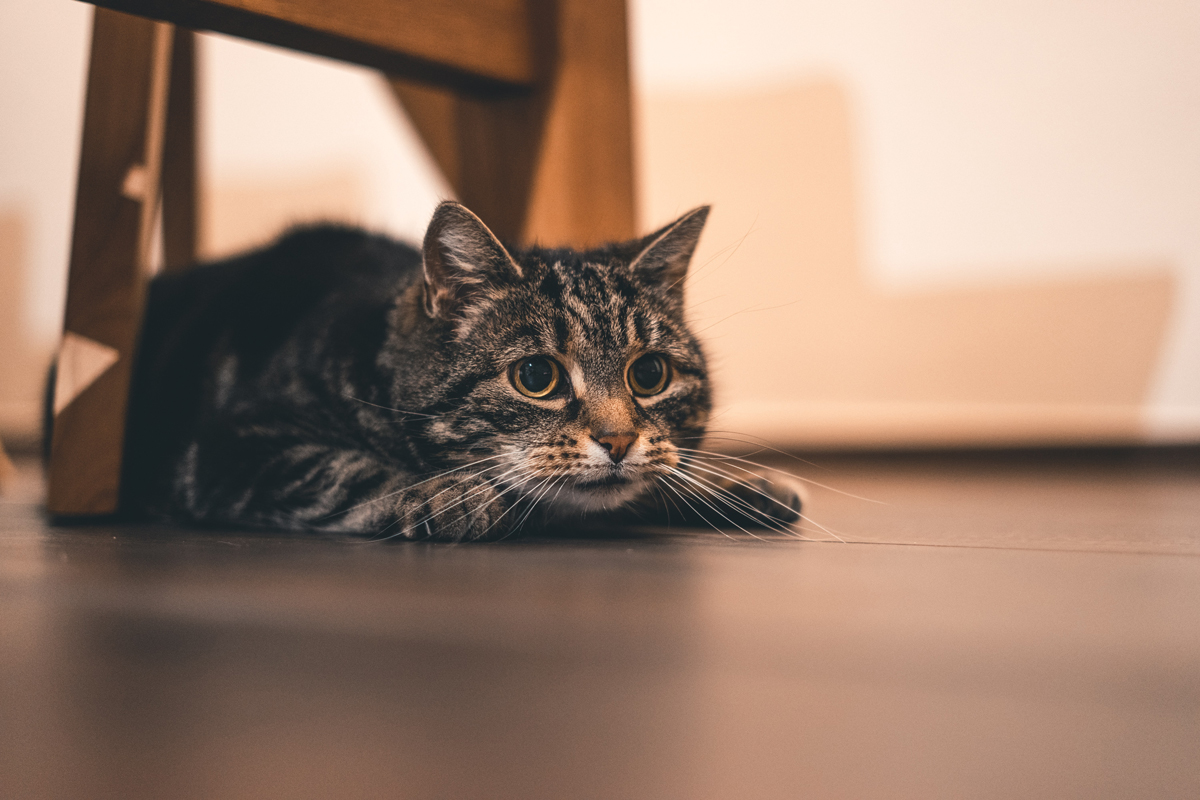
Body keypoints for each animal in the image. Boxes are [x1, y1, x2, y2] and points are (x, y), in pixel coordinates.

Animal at [117, 200, 801, 542]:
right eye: (537, 377)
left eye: (650, 374)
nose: (619, 441)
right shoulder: (234, 445)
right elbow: (347, 469)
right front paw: (455, 494)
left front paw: (739, 487)